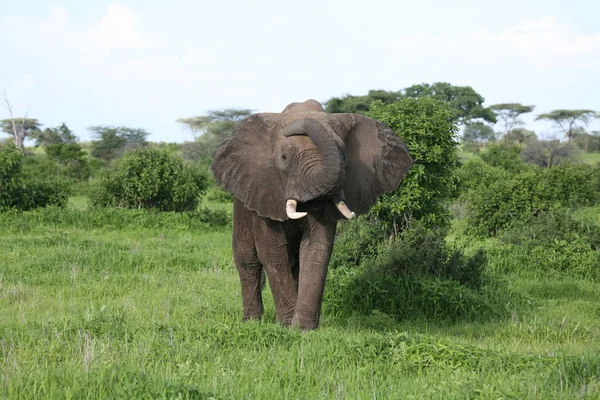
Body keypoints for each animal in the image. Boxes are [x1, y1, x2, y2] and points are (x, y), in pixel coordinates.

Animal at [211, 98, 412, 330]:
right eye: (284, 157)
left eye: (344, 155)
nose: (293, 125)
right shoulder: (263, 190)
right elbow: (271, 251)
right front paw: (286, 325)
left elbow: (316, 247)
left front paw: (302, 329)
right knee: (247, 260)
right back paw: (251, 322)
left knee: (294, 263)